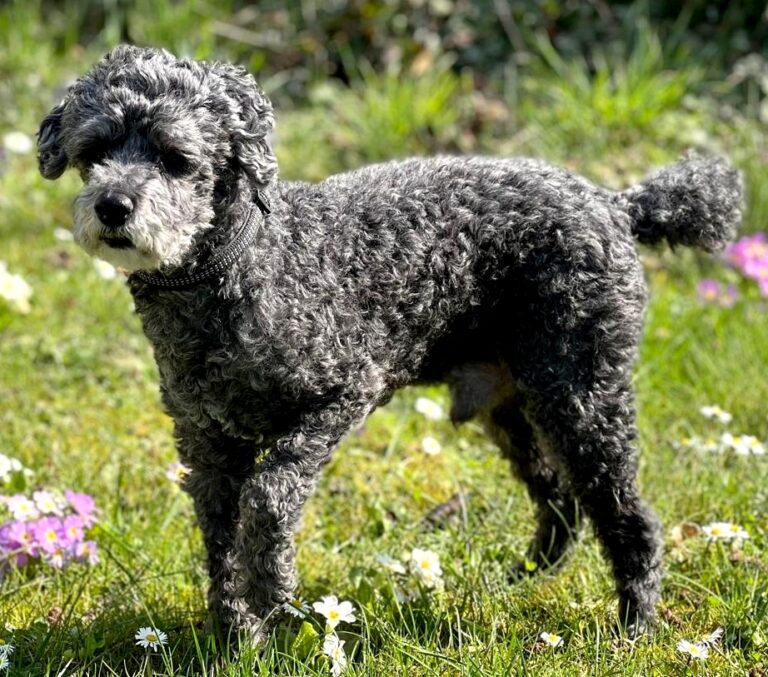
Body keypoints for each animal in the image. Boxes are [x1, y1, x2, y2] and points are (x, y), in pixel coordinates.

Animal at [37, 46, 744, 640]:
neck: (246, 264)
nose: (113, 206)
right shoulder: (207, 446)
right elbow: (220, 539)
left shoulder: (341, 393)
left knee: (630, 517)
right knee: (560, 503)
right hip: (515, 406)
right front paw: (237, 635)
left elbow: (269, 500)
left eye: (176, 158)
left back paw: (635, 627)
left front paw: (276, 599)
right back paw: (518, 582)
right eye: (94, 151)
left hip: (581, 394)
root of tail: (617, 203)